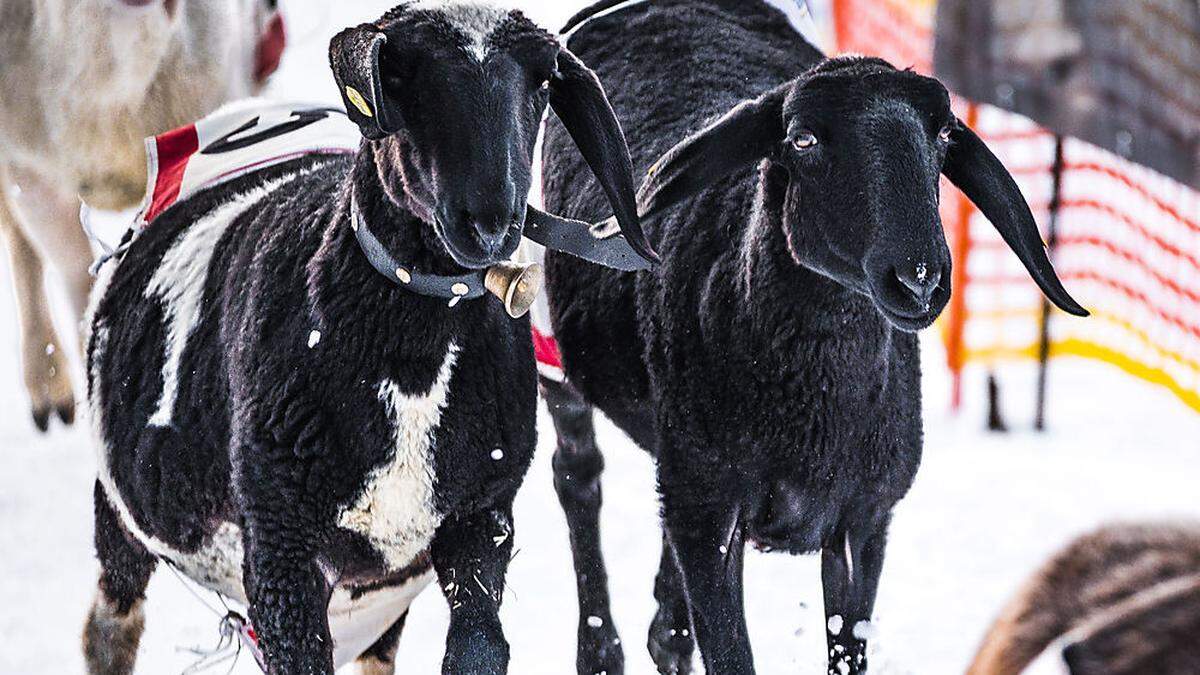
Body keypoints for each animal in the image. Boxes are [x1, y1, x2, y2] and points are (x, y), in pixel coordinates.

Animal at [82, 2, 648, 667]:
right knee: (109, 623)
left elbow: (481, 647)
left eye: (541, 81)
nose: (489, 224)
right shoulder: (281, 551)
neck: (414, 359)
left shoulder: (480, 521)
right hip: (123, 514)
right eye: (399, 76)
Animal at [540, 1, 1084, 672]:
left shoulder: (864, 520)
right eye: (802, 138)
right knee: (578, 478)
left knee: (664, 614)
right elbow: (730, 653)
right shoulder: (710, 517)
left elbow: (845, 647)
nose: (919, 280)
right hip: (556, 358)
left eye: (941, 136)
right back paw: (599, 648)